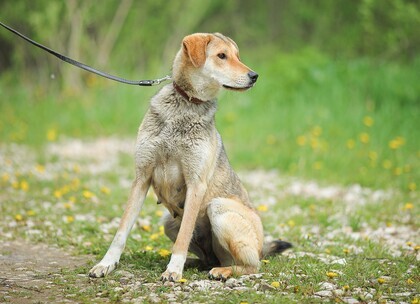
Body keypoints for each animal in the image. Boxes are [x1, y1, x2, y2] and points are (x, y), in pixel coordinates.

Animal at [88, 32, 292, 280]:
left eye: (237, 55)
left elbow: (183, 238)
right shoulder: (141, 177)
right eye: (222, 56)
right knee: (209, 258)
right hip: (168, 222)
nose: (254, 76)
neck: (185, 105)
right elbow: (121, 231)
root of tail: (262, 246)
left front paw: (174, 270)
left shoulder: (196, 183)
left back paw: (221, 271)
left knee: (250, 266)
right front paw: (106, 264)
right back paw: (196, 264)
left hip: (218, 208)